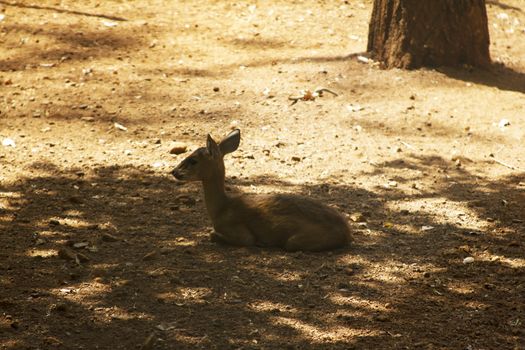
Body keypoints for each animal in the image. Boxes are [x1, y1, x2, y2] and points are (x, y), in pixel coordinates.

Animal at [172, 129, 350, 252]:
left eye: (193, 160)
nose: (173, 171)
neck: (221, 209)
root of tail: (347, 232)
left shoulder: (241, 233)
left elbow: (214, 235)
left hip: (295, 241)